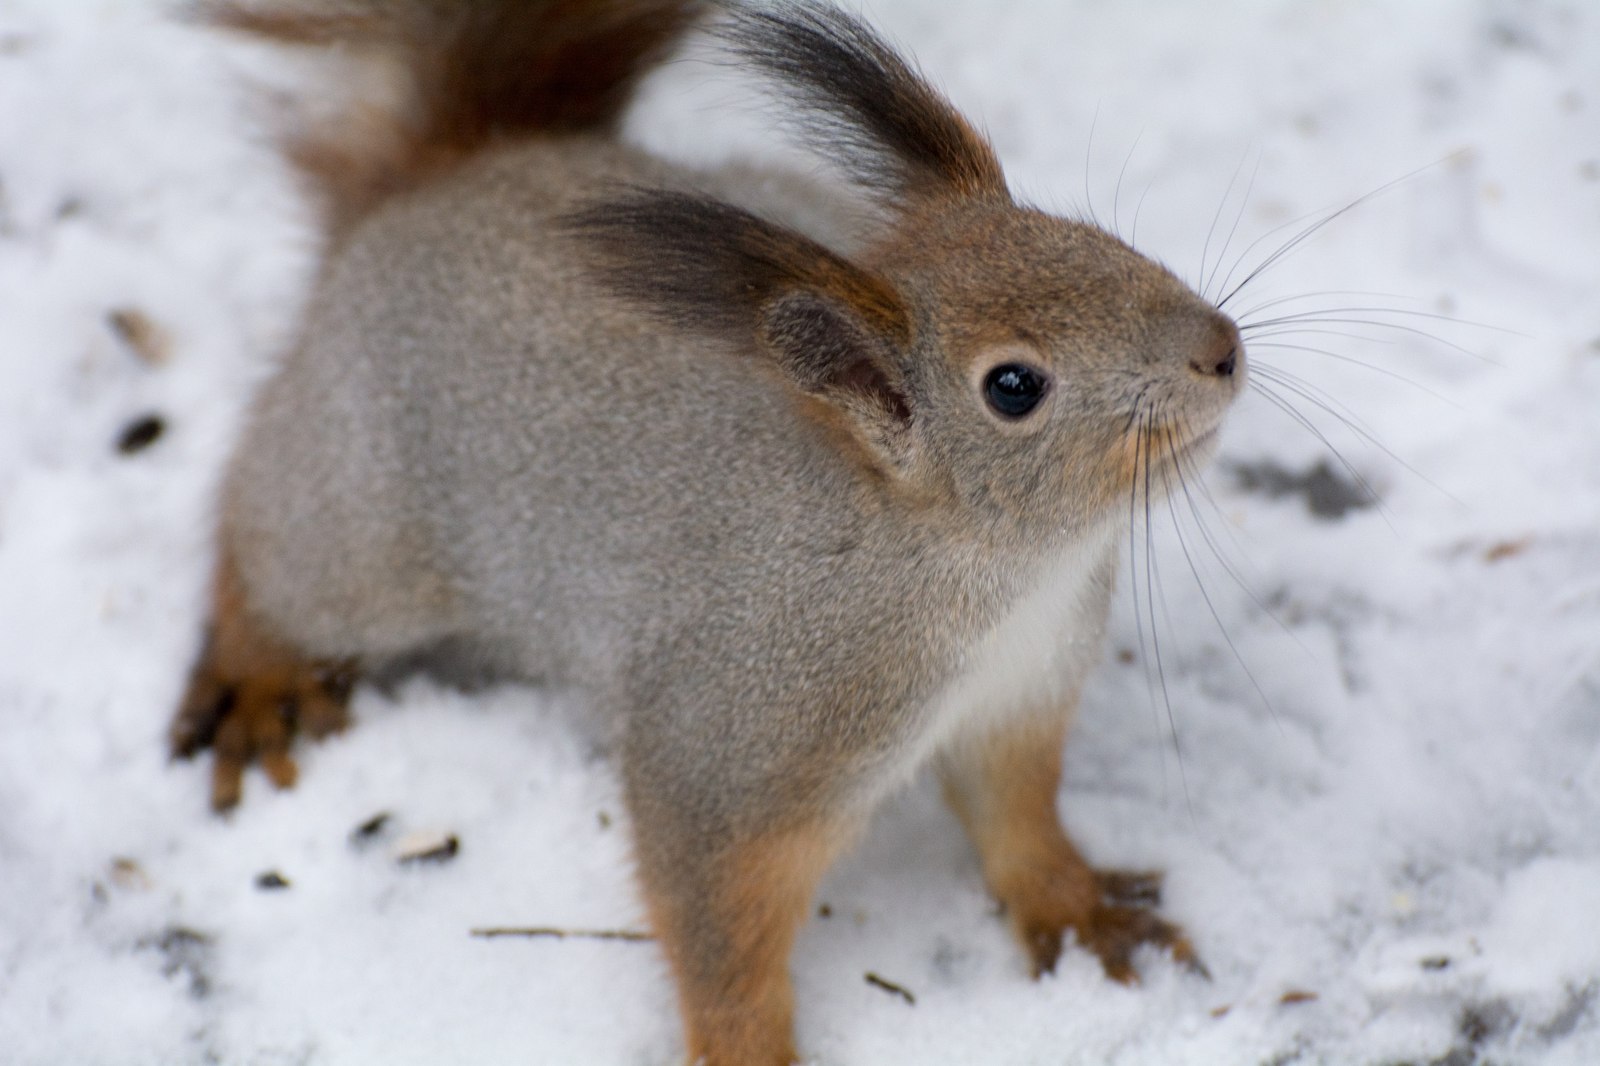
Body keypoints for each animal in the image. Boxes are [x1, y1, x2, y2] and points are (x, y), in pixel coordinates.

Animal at [178, 4, 1248, 1056]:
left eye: (1092, 237)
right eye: (1014, 387)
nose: (1223, 349)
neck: (1009, 574)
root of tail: (443, 176)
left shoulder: (1017, 701)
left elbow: (1021, 822)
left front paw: (1079, 914)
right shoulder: (733, 745)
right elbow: (721, 929)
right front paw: (748, 1049)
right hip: (367, 527)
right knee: (265, 537)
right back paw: (257, 682)